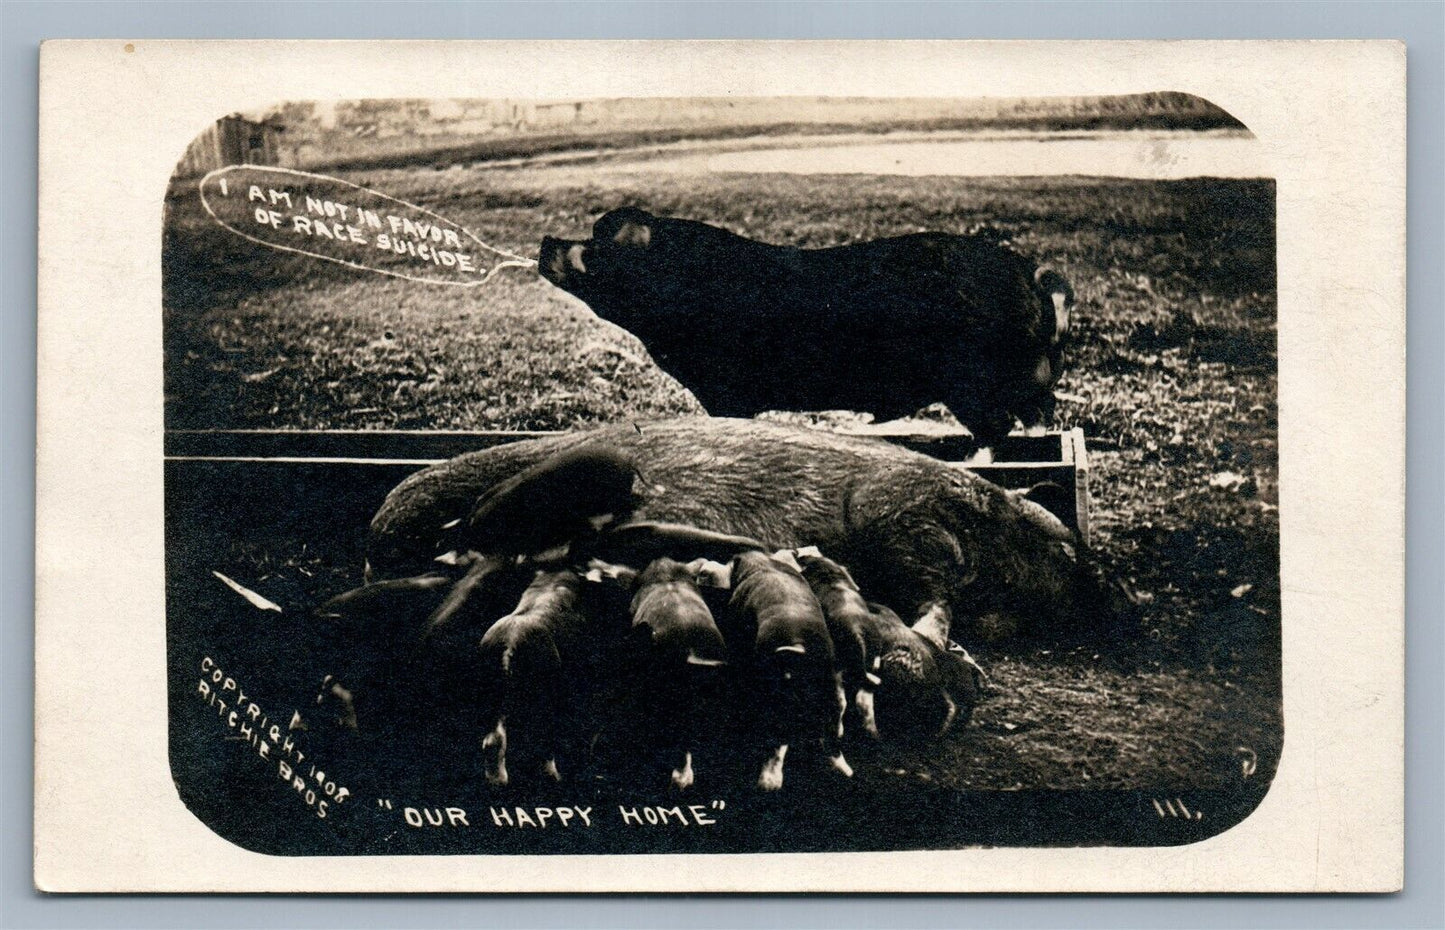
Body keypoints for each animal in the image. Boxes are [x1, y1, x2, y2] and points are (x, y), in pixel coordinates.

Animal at [539, 207, 1074, 449]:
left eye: (596, 244)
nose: (546, 240)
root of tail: (1032, 275)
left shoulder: (727, 388)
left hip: (974, 383)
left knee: (998, 430)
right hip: (1021, 384)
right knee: (1036, 418)